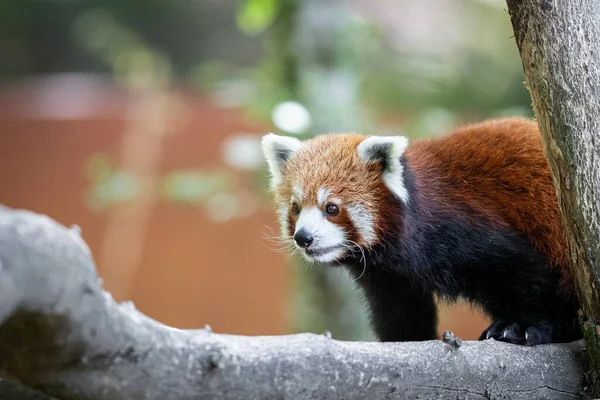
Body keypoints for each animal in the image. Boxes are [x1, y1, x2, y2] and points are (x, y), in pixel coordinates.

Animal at [262, 115, 580, 344]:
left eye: (331, 208)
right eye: (296, 208)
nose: (303, 237)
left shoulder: (460, 228)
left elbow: (523, 272)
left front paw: (520, 326)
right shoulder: (388, 276)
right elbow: (401, 311)